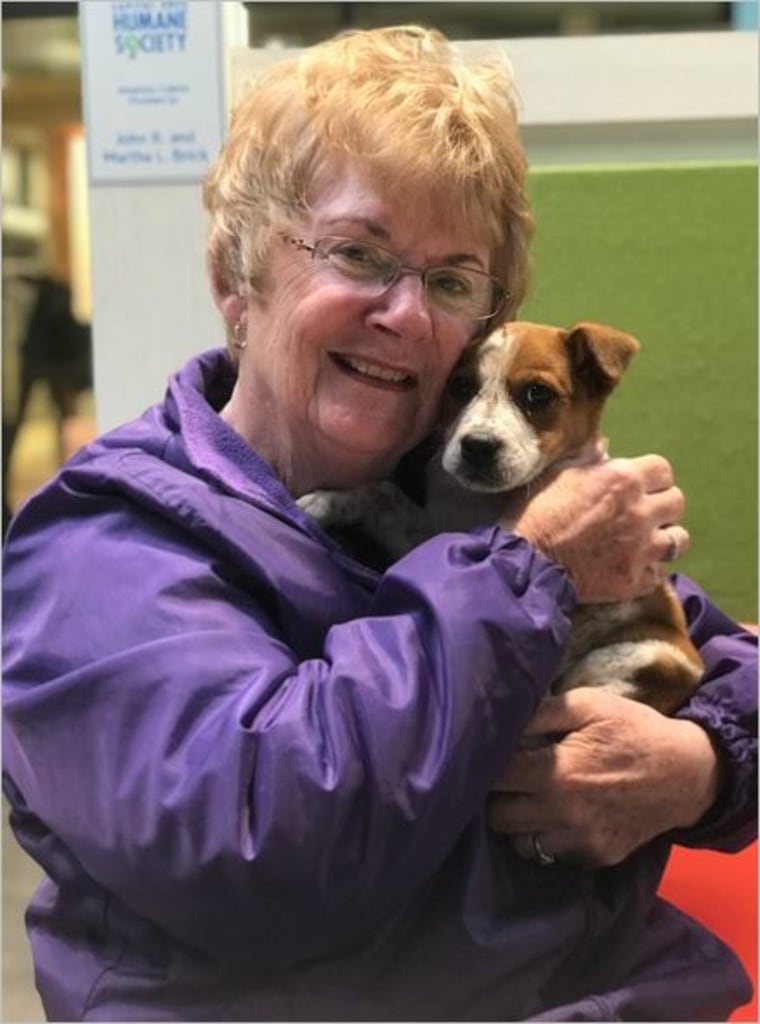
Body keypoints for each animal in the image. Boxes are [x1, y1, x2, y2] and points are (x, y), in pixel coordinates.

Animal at [301, 319, 704, 712]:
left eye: (538, 393)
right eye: (460, 385)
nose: (478, 446)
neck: (489, 501)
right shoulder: (429, 532)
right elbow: (384, 492)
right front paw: (325, 501)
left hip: (642, 656)